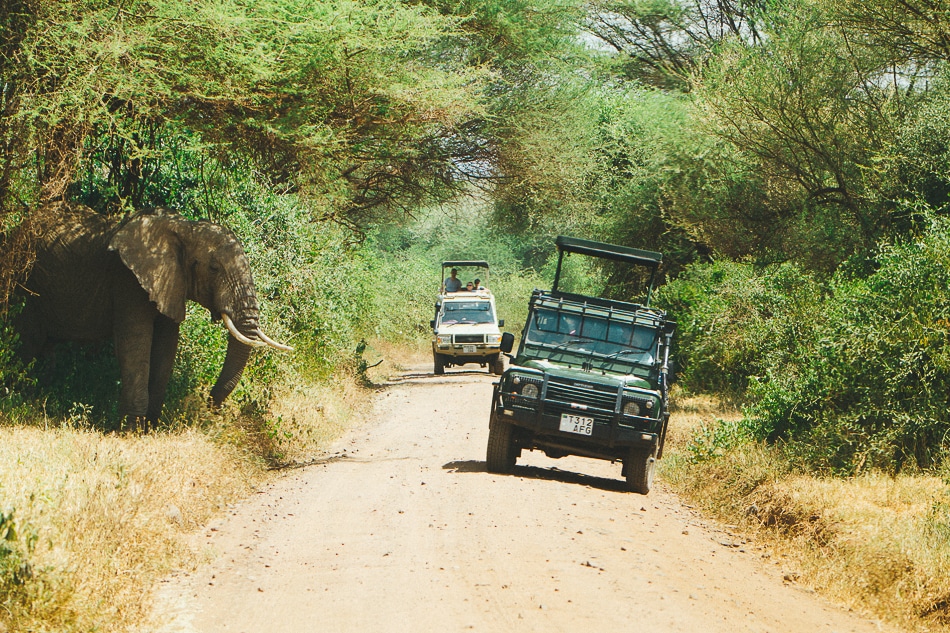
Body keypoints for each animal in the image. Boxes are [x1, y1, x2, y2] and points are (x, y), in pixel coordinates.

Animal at [13, 204, 290, 430]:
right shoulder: (127, 281)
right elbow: (135, 345)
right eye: (213, 268)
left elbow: (166, 347)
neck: (185, 228)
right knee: (27, 341)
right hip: (27, 282)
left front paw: (151, 427)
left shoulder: (170, 283)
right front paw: (131, 431)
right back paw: (17, 397)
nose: (210, 404)